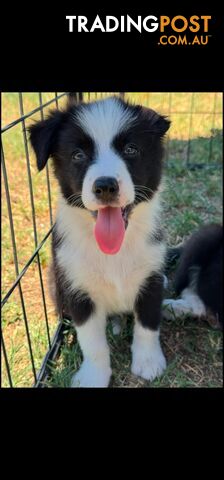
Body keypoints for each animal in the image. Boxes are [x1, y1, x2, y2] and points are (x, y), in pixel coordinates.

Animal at [29, 95, 170, 388]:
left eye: (131, 150)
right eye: (78, 155)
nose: (105, 186)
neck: (113, 251)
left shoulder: (151, 276)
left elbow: (148, 325)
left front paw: (149, 363)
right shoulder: (78, 289)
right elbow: (92, 342)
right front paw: (94, 376)